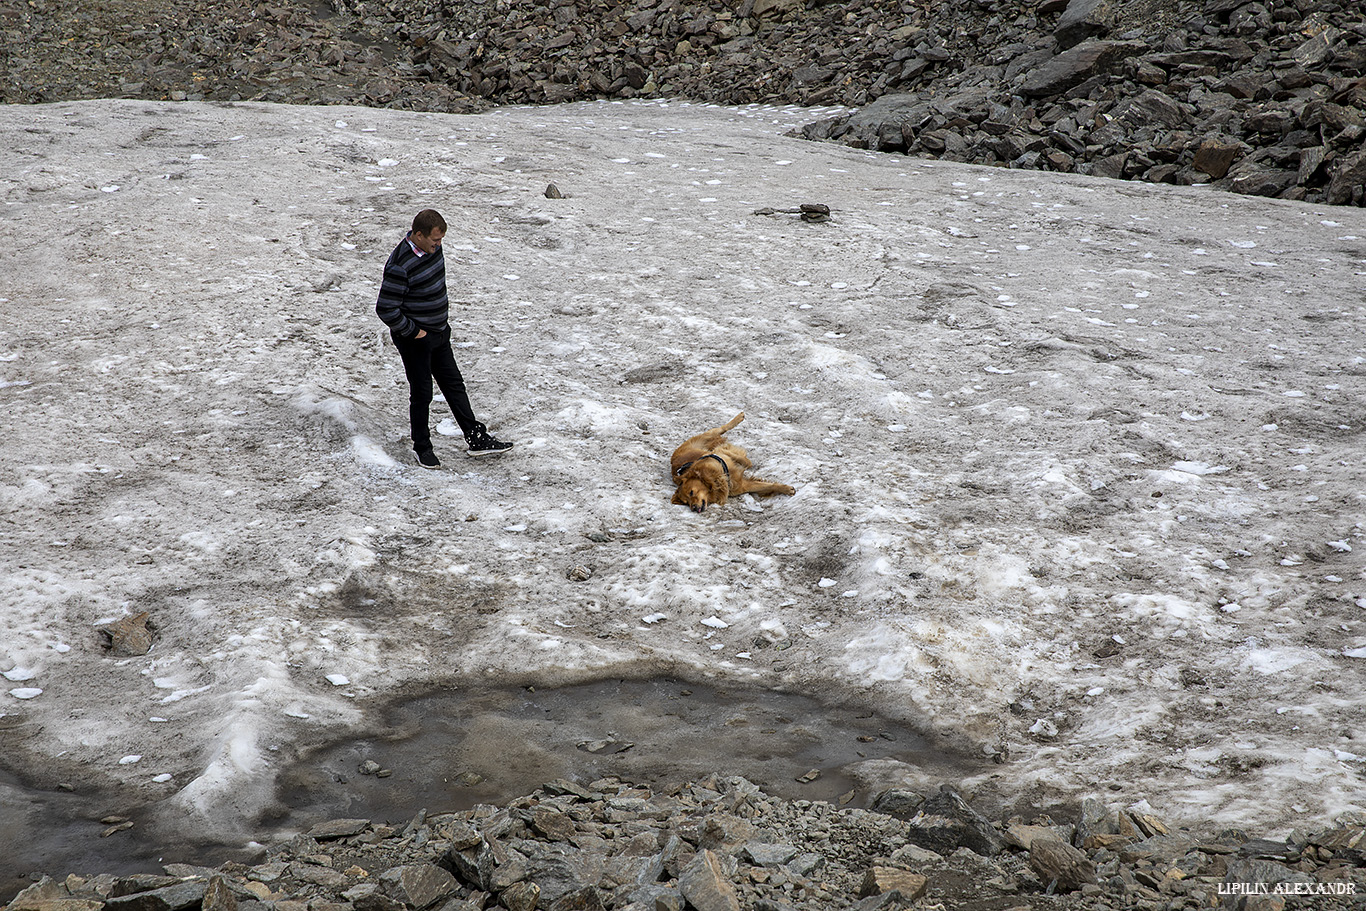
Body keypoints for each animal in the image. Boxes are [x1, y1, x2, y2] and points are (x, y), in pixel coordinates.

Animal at [669, 412, 797, 513]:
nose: (694, 508)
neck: (712, 478)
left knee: (721, 428)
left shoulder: (721, 454)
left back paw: (739, 417)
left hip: (706, 436)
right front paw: (785, 489)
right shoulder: (742, 486)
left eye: (691, 492)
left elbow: (745, 461)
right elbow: (766, 485)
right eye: (686, 502)